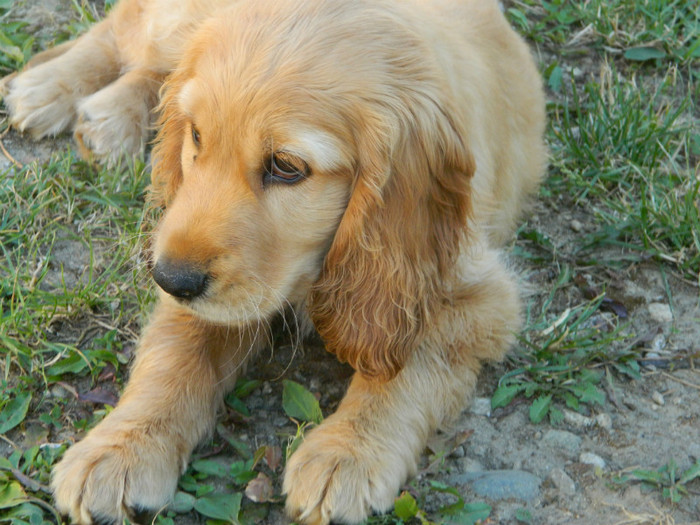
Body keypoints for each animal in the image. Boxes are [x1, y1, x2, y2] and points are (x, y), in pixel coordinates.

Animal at [1, 0, 548, 520]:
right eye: (195, 137)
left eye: (286, 167)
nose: (169, 278)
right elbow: (175, 352)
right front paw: (120, 450)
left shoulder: (469, 293)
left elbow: (406, 366)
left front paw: (345, 455)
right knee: (128, 32)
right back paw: (51, 90)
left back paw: (106, 115)